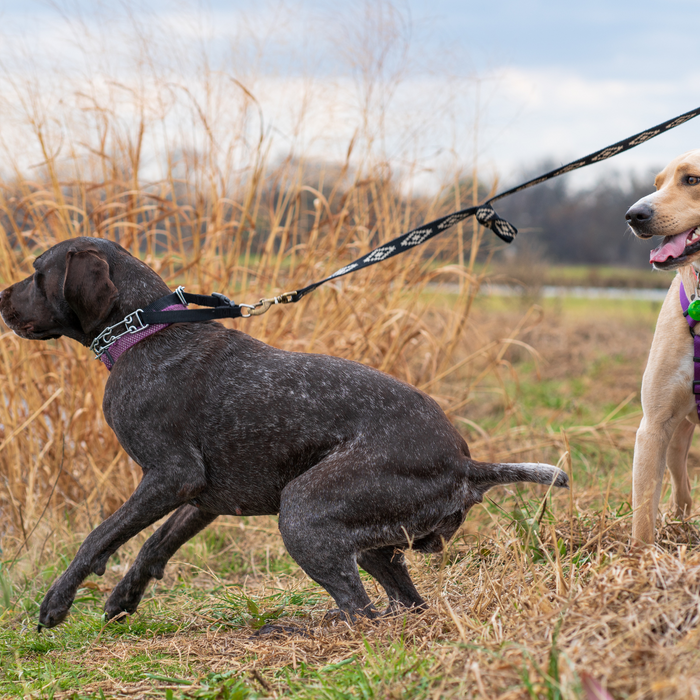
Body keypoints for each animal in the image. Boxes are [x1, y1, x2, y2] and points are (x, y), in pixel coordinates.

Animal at [0, 238, 568, 628]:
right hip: (371, 541)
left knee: (360, 611)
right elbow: (154, 546)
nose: (1, 297)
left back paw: (301, 627)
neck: (144, 333)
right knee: (402, 605)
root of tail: (467, 464)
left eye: (37, 273)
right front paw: (123, 599)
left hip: (303, 509)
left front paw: (57, 601)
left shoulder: (170, 476)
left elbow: (99, 537)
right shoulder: (201, 496)